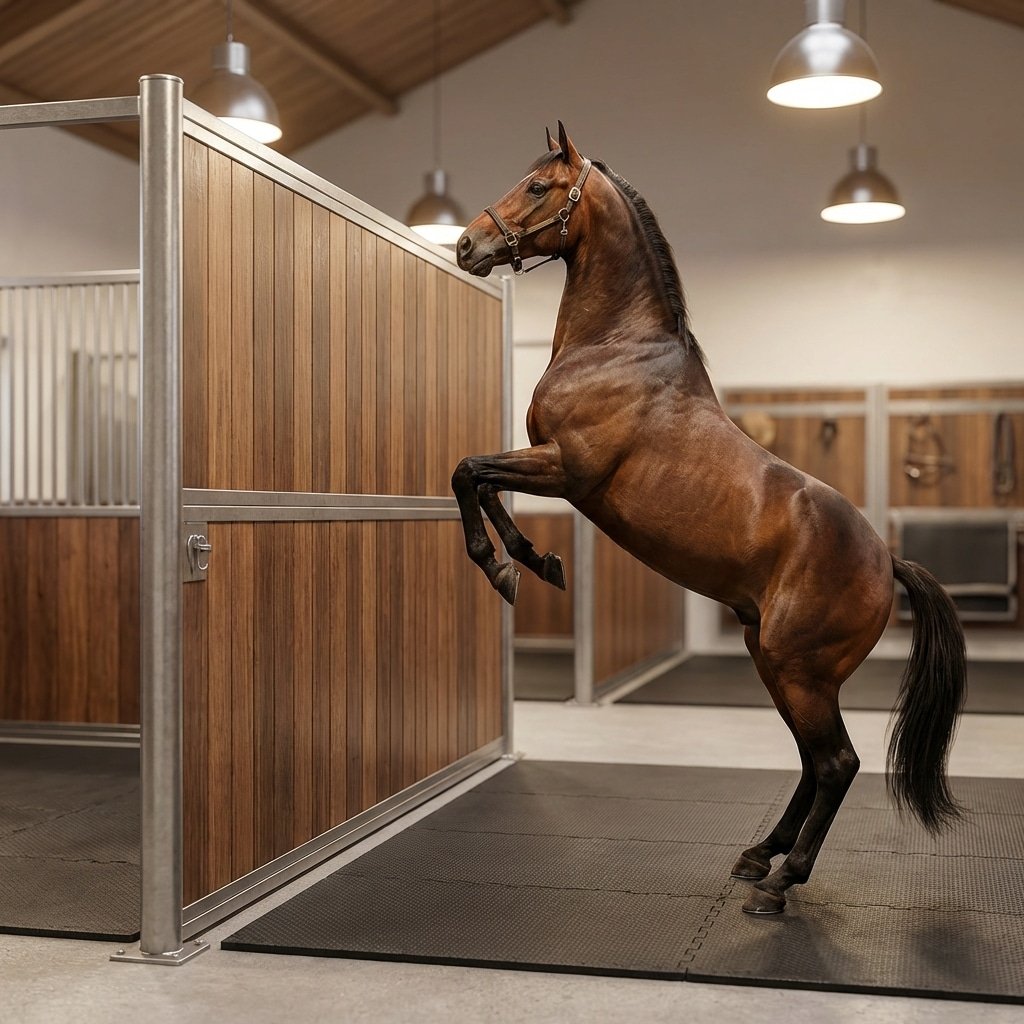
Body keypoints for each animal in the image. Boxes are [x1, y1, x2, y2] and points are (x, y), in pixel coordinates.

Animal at [452, 122, 967, 915]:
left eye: (538, 187)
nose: (466, 245)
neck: (618, 349)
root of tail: (887, 561)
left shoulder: (567, 469)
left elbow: (469, 471)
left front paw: (509, 567)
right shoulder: (549, 465)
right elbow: (476, 478)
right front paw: (536, 562)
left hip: (799, 669)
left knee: (837, 762)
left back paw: (782, 882)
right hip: (775, 663)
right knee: (812, 761)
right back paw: (759, 855)